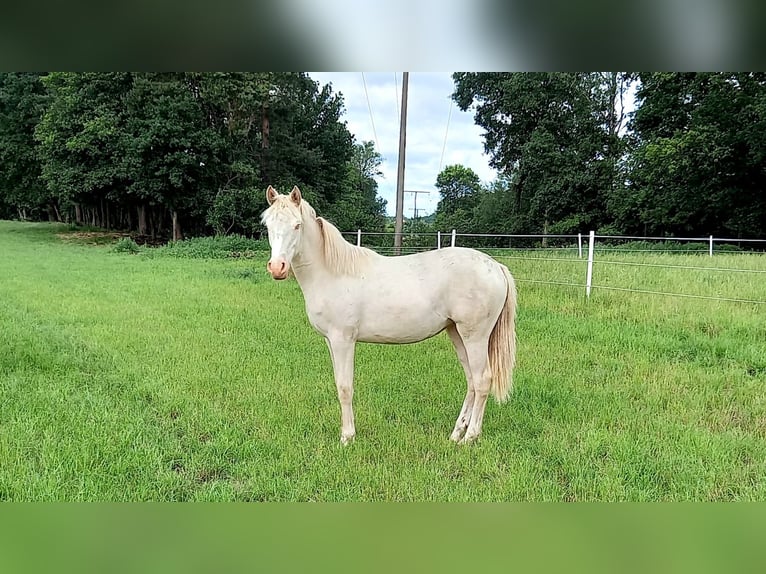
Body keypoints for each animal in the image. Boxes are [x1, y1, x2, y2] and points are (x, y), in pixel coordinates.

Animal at [260, 187, 520, 448]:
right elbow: (338, 383)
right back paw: (456, 433)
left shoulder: (343, 340)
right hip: (457, 333)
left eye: (297, 225)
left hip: (475, 336)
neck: (333, 273)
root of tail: (495, 267)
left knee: (482, 380)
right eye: (268, 225)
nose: (277, 267)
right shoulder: (330, 341)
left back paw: (470, 437)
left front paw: (347, 437)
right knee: (471, 381)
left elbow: (345, 387)